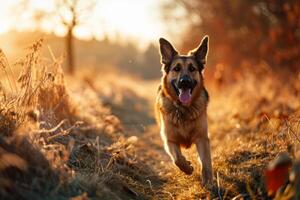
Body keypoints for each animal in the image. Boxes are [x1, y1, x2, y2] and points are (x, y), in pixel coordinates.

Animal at [155, 36, 213, 184]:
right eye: (176, 68)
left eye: (192, 68)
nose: (185, 81)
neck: (183, 109)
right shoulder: (169, 140)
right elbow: (177, 159)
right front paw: (187, 167)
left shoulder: (202, 138)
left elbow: (206, 163)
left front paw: (208, 182)